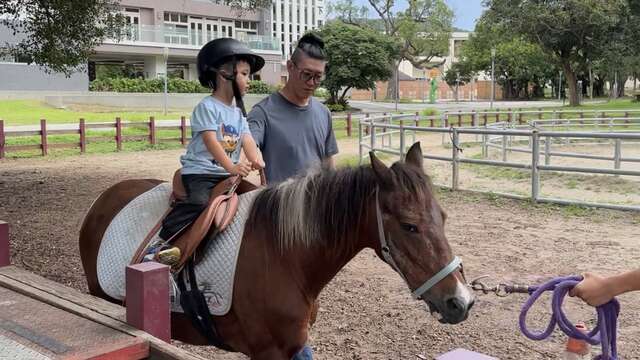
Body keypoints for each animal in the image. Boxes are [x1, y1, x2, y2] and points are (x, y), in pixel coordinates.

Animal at [77, 142, 472, 358]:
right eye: (409, 225)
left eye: (444, 217)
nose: (461, 301)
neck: (286, 256)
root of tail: (104, 200)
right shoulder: (268, 352)